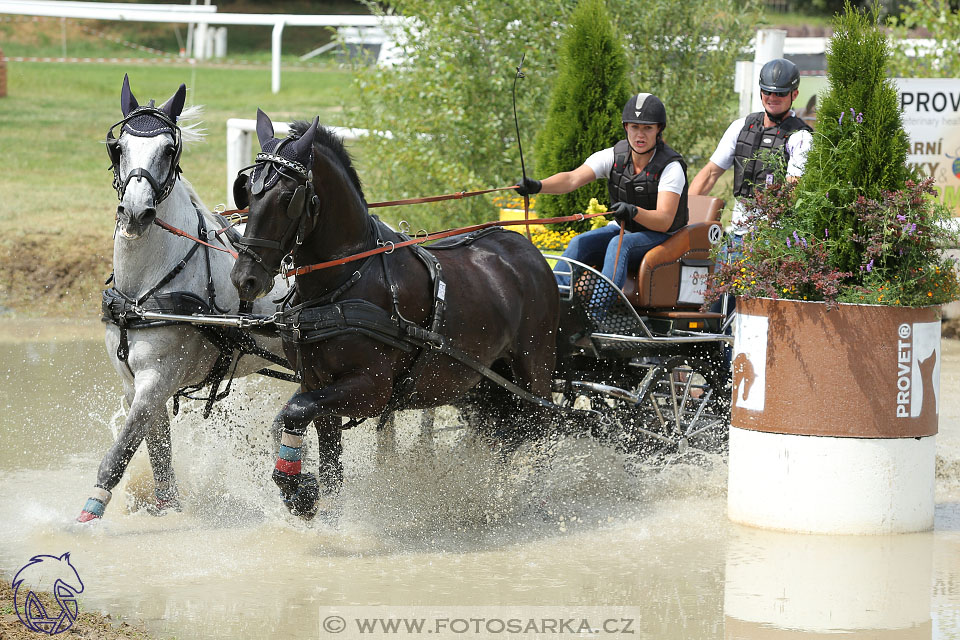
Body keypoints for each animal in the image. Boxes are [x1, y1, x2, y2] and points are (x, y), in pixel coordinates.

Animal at [230, 111, 560, 520]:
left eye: (288, 198)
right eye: (247, 192)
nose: (245, 278)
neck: (346, 281)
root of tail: (527, 249)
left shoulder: (373, 389)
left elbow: (294, 412)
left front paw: (299, 491)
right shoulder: (315, 384)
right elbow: (315, 446)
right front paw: (317, 505)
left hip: (534, 367)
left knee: (542, 425)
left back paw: (532, 498)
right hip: (486, 379)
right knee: (505, 430)